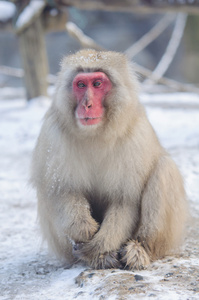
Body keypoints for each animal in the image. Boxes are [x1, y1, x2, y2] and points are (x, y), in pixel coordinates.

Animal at [30, 49, 187, 270]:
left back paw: (139, 249)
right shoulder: (53, 134)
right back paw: (97, 257)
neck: (96, 133)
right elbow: (62, 190)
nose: (87, 105)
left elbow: (125, 199)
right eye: (81, 85)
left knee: (164, 168)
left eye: (97, 84)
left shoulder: (135, 135)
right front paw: (84, 230)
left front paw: (100, 245)